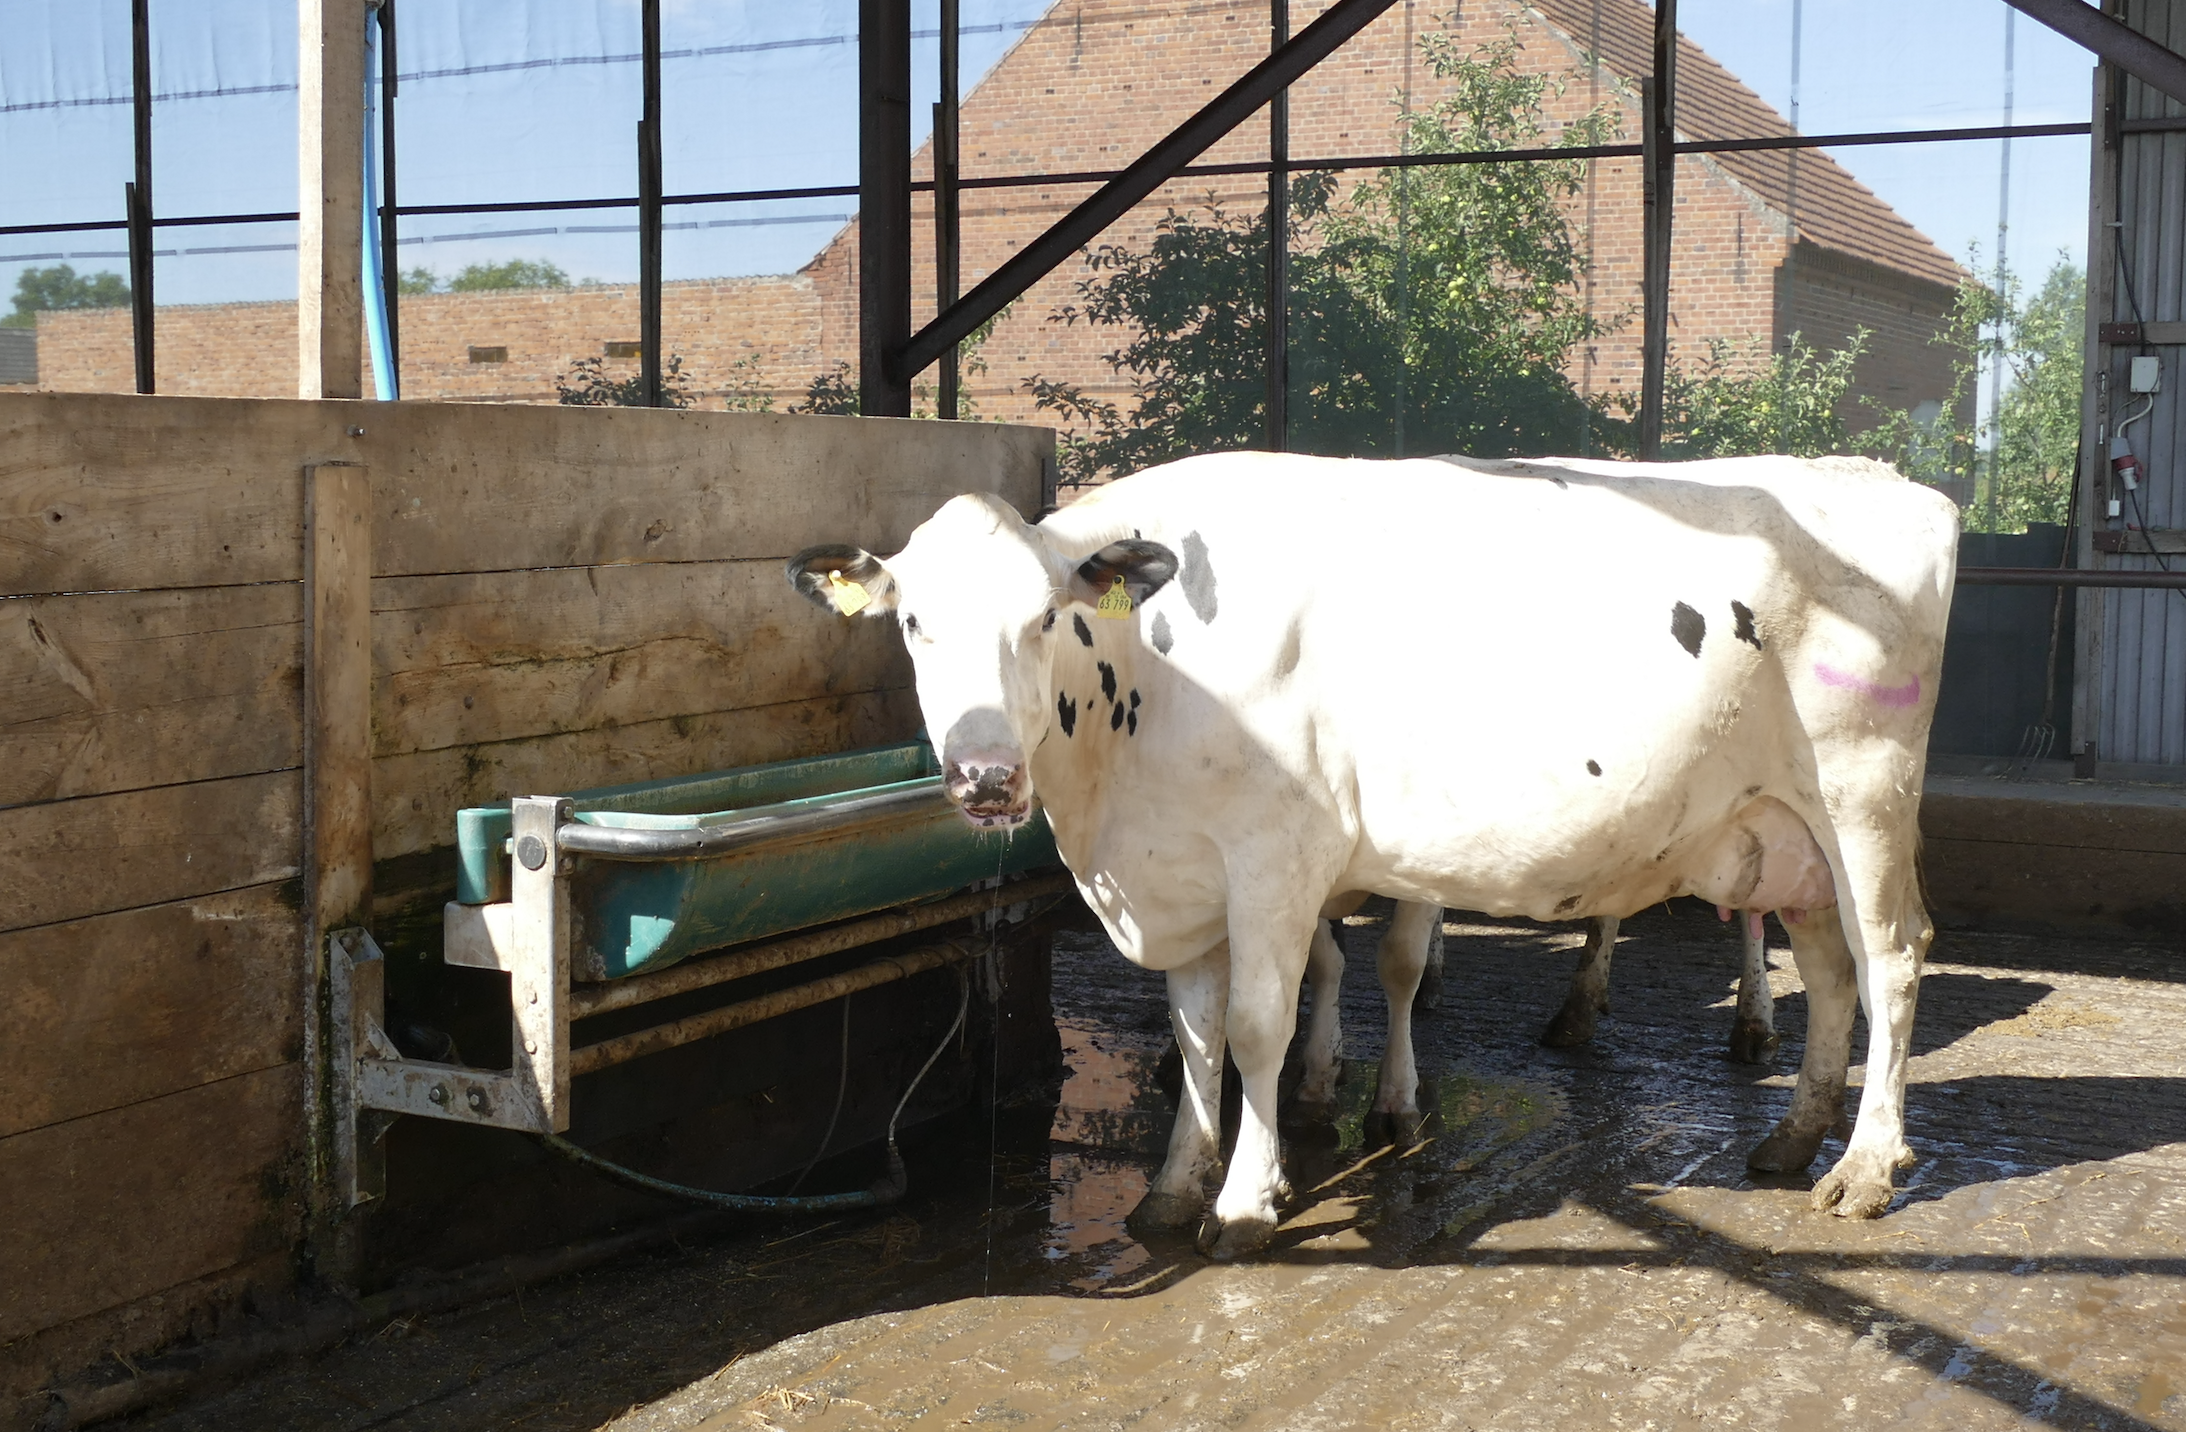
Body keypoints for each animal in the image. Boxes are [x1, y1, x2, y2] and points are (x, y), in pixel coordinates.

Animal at [795, 448, 1958, 1259]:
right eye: (913, 622)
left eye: (1044, 618)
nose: (985, 776)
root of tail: (1883, 479)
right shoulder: (1179, 870)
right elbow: (1194, 1036)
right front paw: (1171, 1186)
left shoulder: (1272, 858)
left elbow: (1257, 1030)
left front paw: (1244, 1203)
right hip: (1784, 830)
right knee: (1826, 969)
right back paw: (1795, 1136)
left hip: (1860, 794)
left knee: (1890, 960)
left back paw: (1864, 1166)